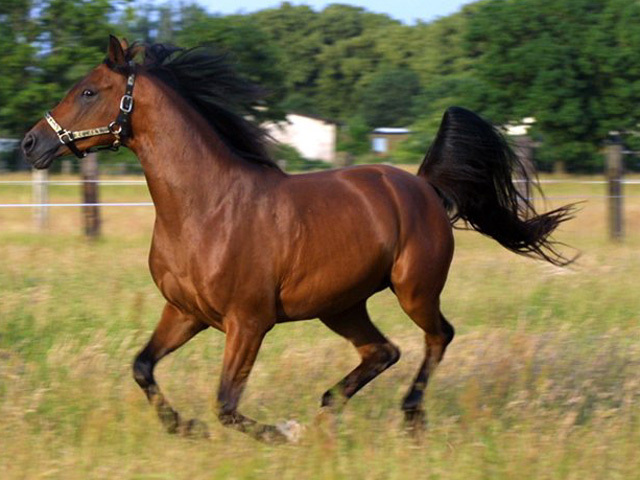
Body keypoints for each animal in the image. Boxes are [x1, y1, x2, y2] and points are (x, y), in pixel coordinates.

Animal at [21, 35, 574, 443]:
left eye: (89, 91)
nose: (31, 142)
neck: (206, 209)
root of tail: (425, 188)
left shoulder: (249, 323)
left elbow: (226, 404)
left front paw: (281, 432)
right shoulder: (185, 313)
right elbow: (142, 367)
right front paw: (186, 428)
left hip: (414, 290)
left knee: (438, 337)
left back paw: (409, 417)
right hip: (341, 304)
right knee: (383, 352)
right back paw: (328, 411)